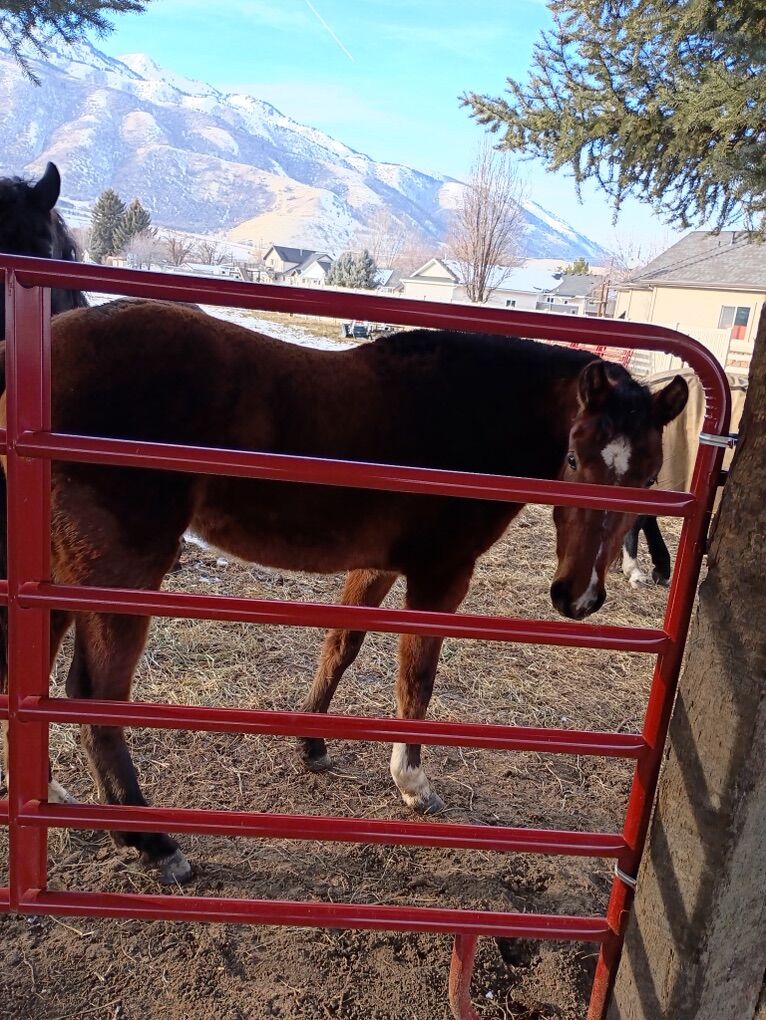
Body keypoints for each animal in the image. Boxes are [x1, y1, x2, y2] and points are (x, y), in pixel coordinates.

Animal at [0, 299, 688, 883]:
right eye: (573, 459)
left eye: (650, 477)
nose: (578, 596)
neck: (469, 413)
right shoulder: (440, 574)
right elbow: (416, 676)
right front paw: (411, 781)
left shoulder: (377, 564)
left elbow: (342, 645)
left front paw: (311, 743)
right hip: (120, 573)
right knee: (93, 698)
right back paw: (151, 842)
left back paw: (49, 792)